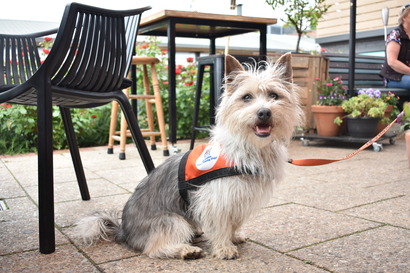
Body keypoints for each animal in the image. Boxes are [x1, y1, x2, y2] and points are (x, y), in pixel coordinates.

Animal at [75, 52, 302, 258]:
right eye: (246, 97)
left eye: (274, 95)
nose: (264, 112)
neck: (249, 145)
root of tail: (124, 231)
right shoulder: (216, 199)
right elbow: (221, 225)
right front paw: (224, 247)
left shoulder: (238, 198)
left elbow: (233, 222)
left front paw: (233, 237)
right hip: (172, 220)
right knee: (154, 249)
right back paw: (185, 250)